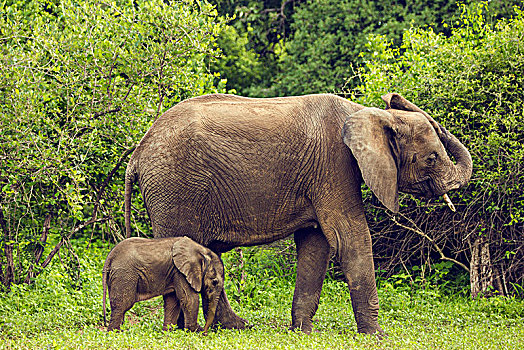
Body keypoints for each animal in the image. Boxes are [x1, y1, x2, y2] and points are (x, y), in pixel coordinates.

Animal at [125, 91, 472, 334]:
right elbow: (350, 238)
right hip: (175, 189)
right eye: (431, 159)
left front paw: (302, 331)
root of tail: (137, 153)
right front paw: (377, 336)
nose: (394, 97)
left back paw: (237, 327)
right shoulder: (334, 166)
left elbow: (316, 242)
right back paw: (193, 329)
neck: (366, 113)